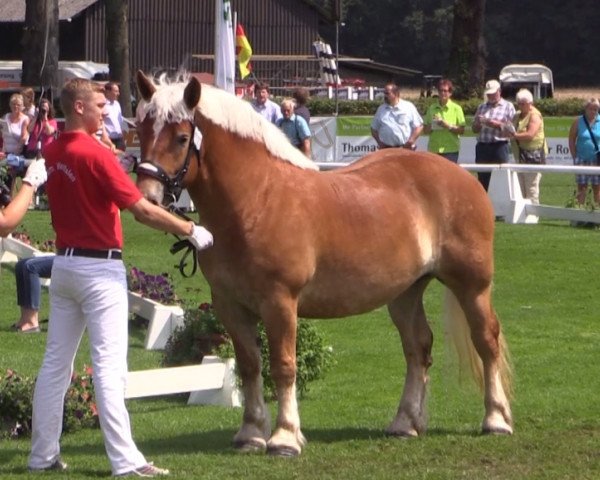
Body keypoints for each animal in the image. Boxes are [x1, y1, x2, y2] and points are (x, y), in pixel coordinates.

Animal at [134, 72, 512, 458]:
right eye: (142, 130)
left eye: (182, 138)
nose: (147, 197)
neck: (257, 199)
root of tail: (463, 177)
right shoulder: (229, 306)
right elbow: (250, 365)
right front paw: (251, 433)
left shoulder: (280, 302)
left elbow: (284, 366)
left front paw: (285, 437)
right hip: (405, 294)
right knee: (418, 347)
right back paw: (406, 423)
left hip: (472, 286)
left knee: (487, 341)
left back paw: (496, 419)